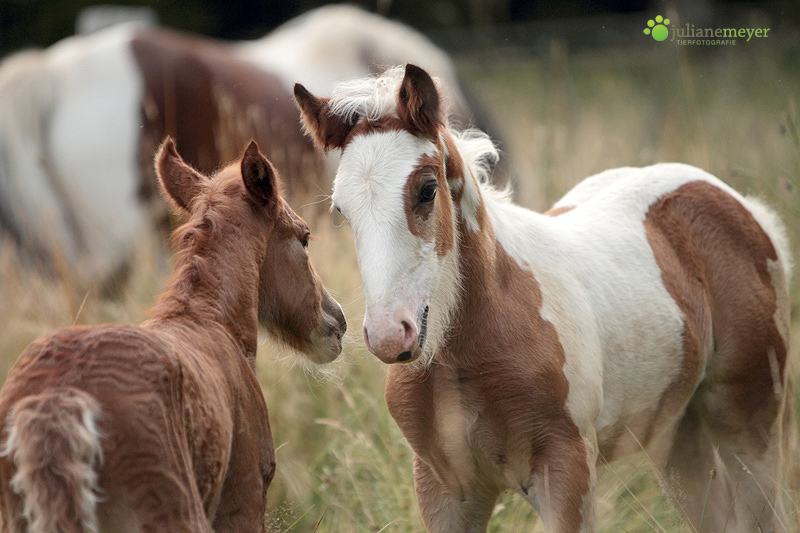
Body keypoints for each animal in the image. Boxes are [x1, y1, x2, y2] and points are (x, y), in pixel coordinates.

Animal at [296, 64, 792, 528]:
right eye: (341, 209)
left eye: (426, 189)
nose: (387, 335)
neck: (462, 357)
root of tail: (739, 202)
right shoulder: (443, 487)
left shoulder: (566, 473)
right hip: (676, 433)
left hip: (750, 419)